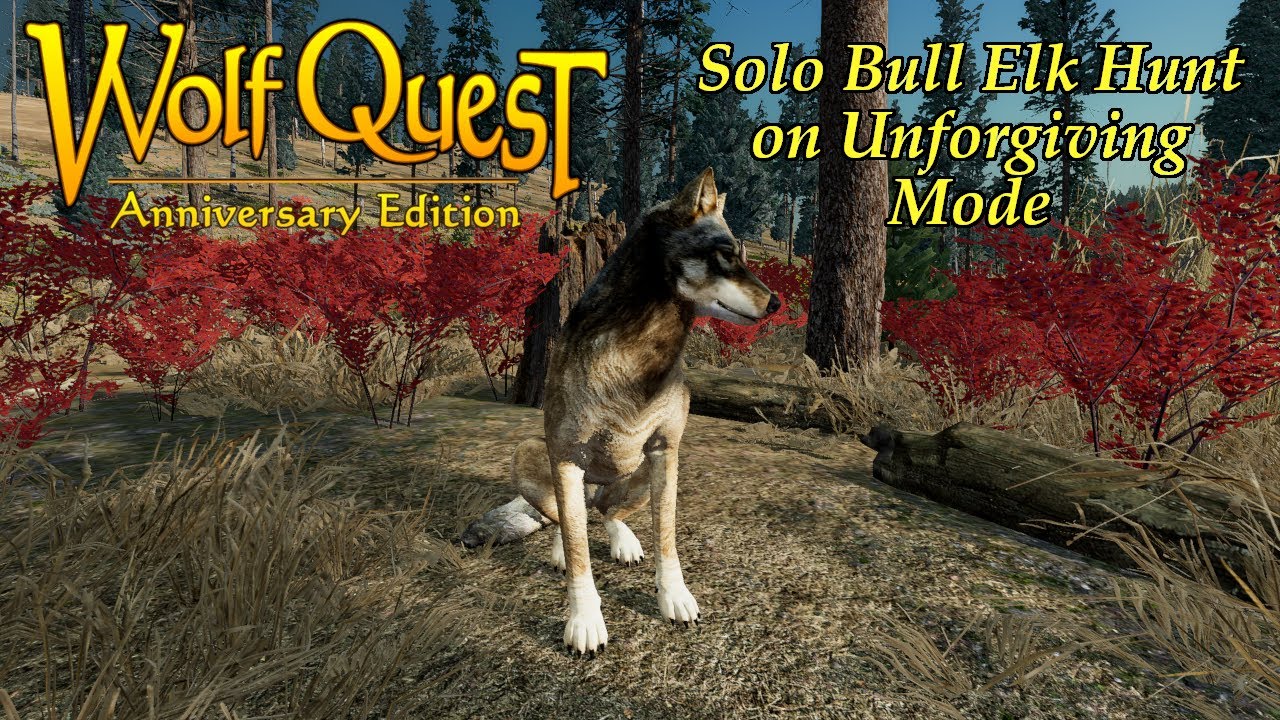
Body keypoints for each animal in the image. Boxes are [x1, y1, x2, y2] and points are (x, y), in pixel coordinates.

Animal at [462, 168, 779, 655]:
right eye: (725, 255)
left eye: (740, 255)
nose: (777, 303)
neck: (642, 350)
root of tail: (595, 492)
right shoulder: (566, 456)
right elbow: (578, 548)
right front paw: (584, 620)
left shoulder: (666, 451)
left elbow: (667, 538)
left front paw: (674, 597)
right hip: (530, 454)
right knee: (567, 518)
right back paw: (563, 547)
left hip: (645, 474)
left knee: (607, 514)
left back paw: (623, 541)